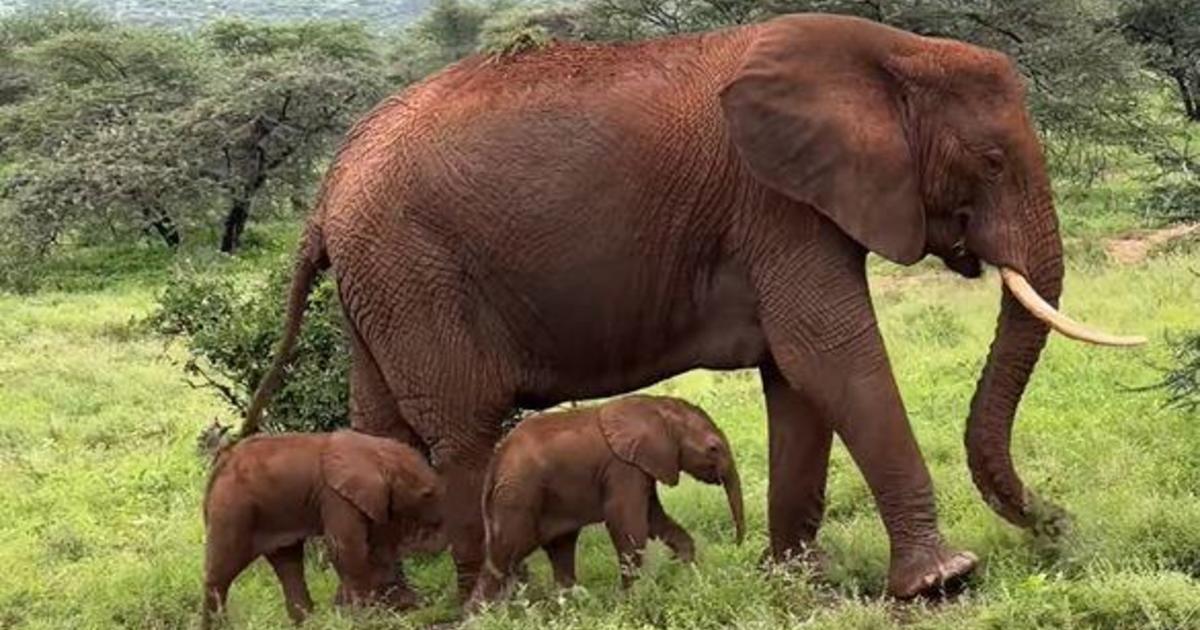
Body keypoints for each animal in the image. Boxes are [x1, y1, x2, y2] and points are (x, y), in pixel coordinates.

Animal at [201, 430, 444, 627]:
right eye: (427, 494)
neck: (377, 450)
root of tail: (222, 462)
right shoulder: (335, 496)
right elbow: (346, 548)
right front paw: (365, 618)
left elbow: (377, 548)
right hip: (233, 506)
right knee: (222, 569)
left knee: (288, 562)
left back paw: (308, 622)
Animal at [467, 395, 745, 608]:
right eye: (713, 449)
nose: (737, 545)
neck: (657, 407)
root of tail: (494, 463)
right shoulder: (622, 468)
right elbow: (628, 524)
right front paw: (632, 602)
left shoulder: (642, 465)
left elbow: (655, 519)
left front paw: (687, 573)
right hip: (517, 495)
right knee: (504, 556)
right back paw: (481, 618)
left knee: (560, 549)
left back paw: (573, 607)